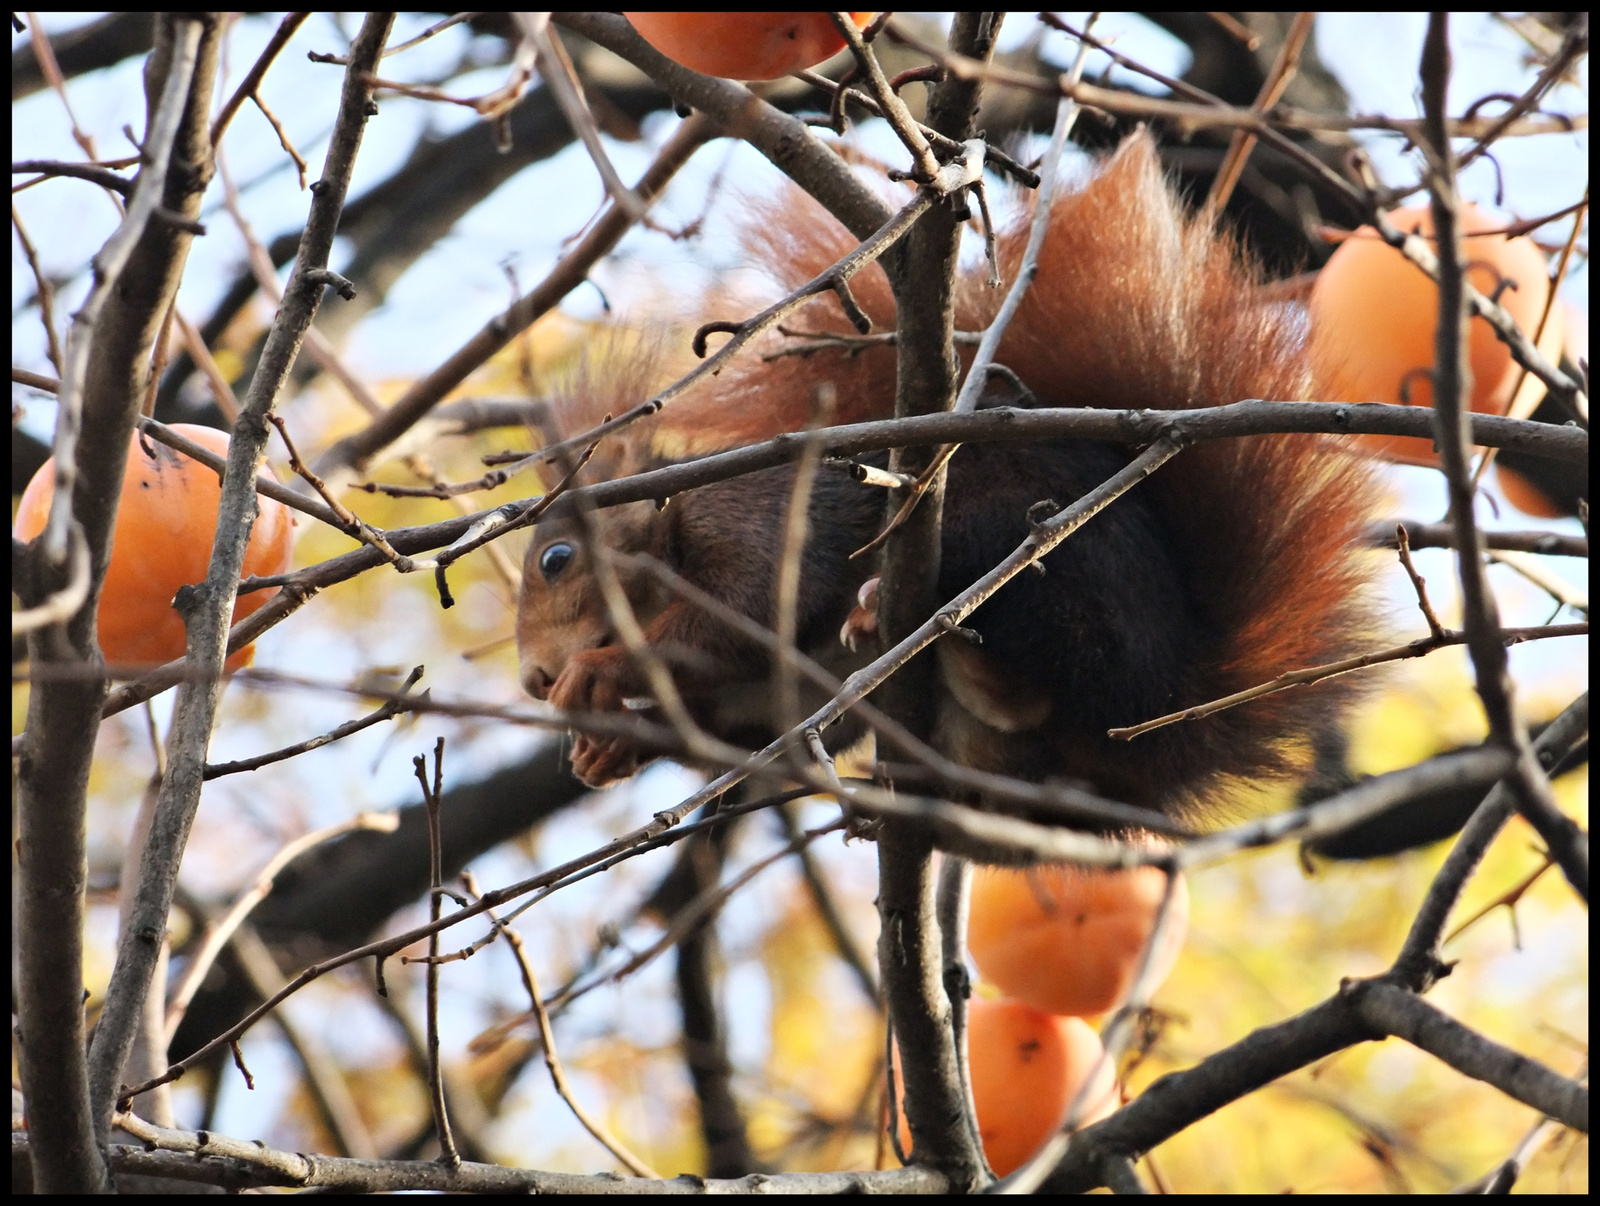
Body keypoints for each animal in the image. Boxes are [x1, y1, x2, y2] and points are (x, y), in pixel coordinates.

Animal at [518, 133, 1382, 818]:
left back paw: (922, 631)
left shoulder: (755, 519)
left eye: (556, 559)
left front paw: (596, 671)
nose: (532, 679)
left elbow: (745, 614)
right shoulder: (766, 694)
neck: (673, 525)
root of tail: (1164, 704)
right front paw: (611, 748)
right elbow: (754, 717)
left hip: (1014, 540)